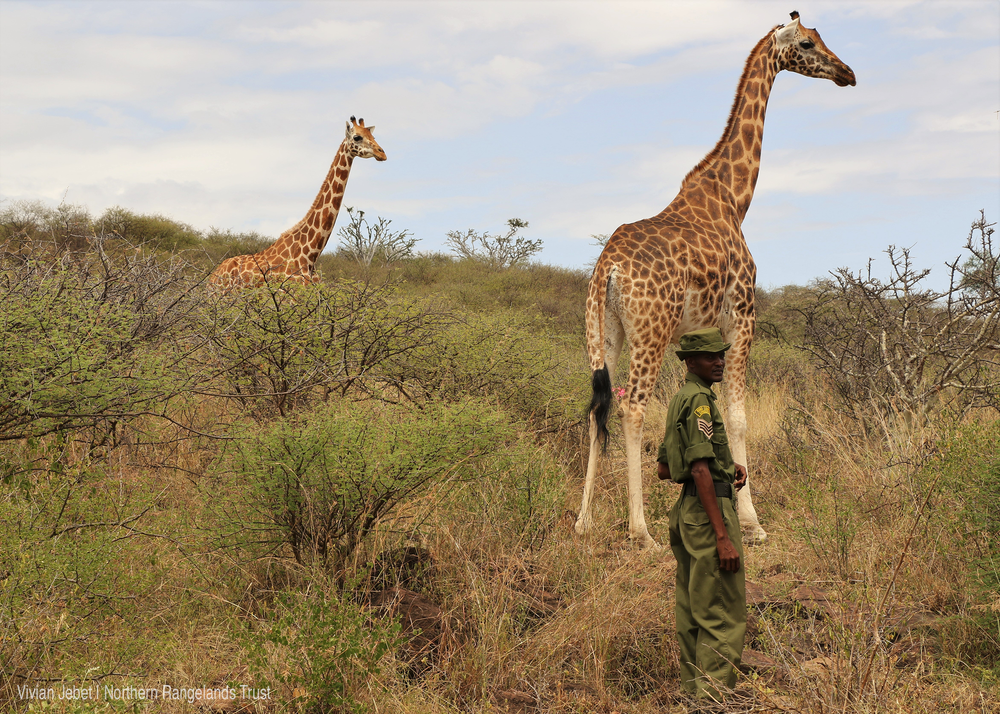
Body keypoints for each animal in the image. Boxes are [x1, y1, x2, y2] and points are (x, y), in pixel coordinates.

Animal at [575, 12, 856, 547]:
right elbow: (739, 418)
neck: (733, 197)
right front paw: (753, 522)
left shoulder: (701, 329)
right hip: (651, 331)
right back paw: (640, 531)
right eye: (809, 44)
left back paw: (583, 521)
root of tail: (609, 269)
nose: (847, 73)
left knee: (597, 405)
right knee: (631, 407)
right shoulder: (741, 316)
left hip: (606, 332)